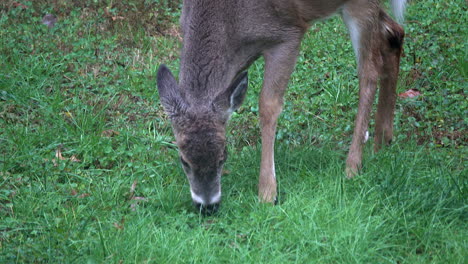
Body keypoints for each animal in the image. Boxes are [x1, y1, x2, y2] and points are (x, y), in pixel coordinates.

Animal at [157, 0, 406, 213]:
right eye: (184, 160)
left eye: (223, 157)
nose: (207, 206)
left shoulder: (288, 34)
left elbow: (268, 105)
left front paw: (268, 193)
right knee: (394, 32)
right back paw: (382, 139)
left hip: (359, 6)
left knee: (369, 72)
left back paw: (353, 165)